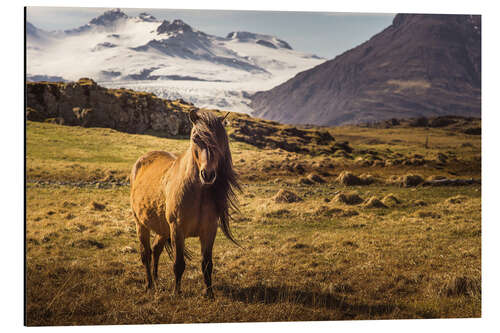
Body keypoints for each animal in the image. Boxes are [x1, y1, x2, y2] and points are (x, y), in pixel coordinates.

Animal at [128, 109, 239, 298]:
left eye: (220, 138)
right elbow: (178, 264)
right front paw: (176, 293)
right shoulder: (177, 229)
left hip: (162, 229)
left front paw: (209, 294)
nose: (207, 174)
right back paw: (149, 285)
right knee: (146, 254)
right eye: (195, 138)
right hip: (141, 224)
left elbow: (207, 264)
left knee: (156, 250)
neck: (197, 192)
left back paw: (156, 281)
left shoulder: (209, 230)